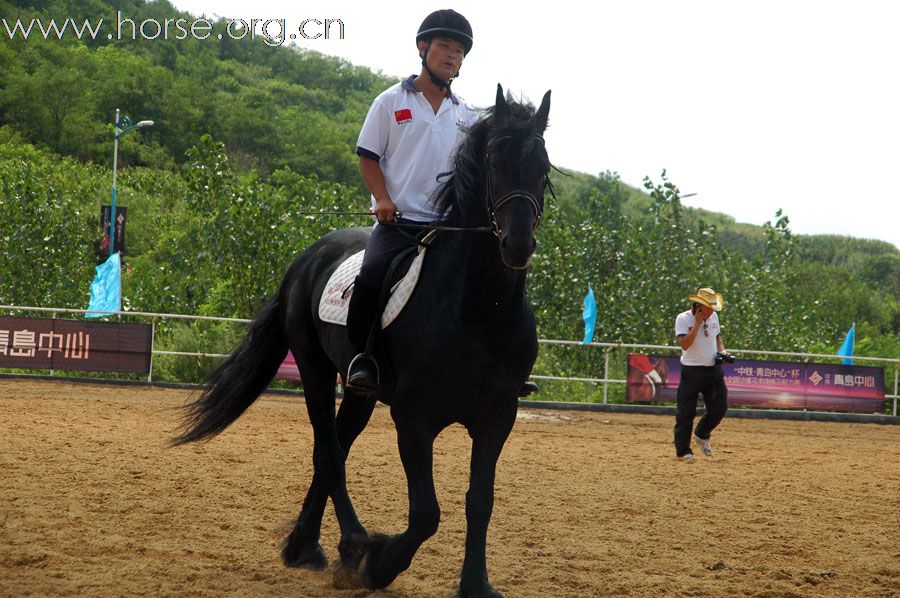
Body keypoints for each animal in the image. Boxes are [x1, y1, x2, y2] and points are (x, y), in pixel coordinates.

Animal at [169, 85, 548, 598]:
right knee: (329, 453)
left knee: (335, 450)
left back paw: (305, 547)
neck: (477, 309)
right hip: (313, 367)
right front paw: (379, 563)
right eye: (494, 162)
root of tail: (305, 258)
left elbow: (480, 501)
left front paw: (475, 583)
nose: (517, 245)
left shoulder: (497, 415)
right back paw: (351, 546)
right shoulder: (414, 417)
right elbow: (426, 514)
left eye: (542, 166)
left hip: (360, 390)